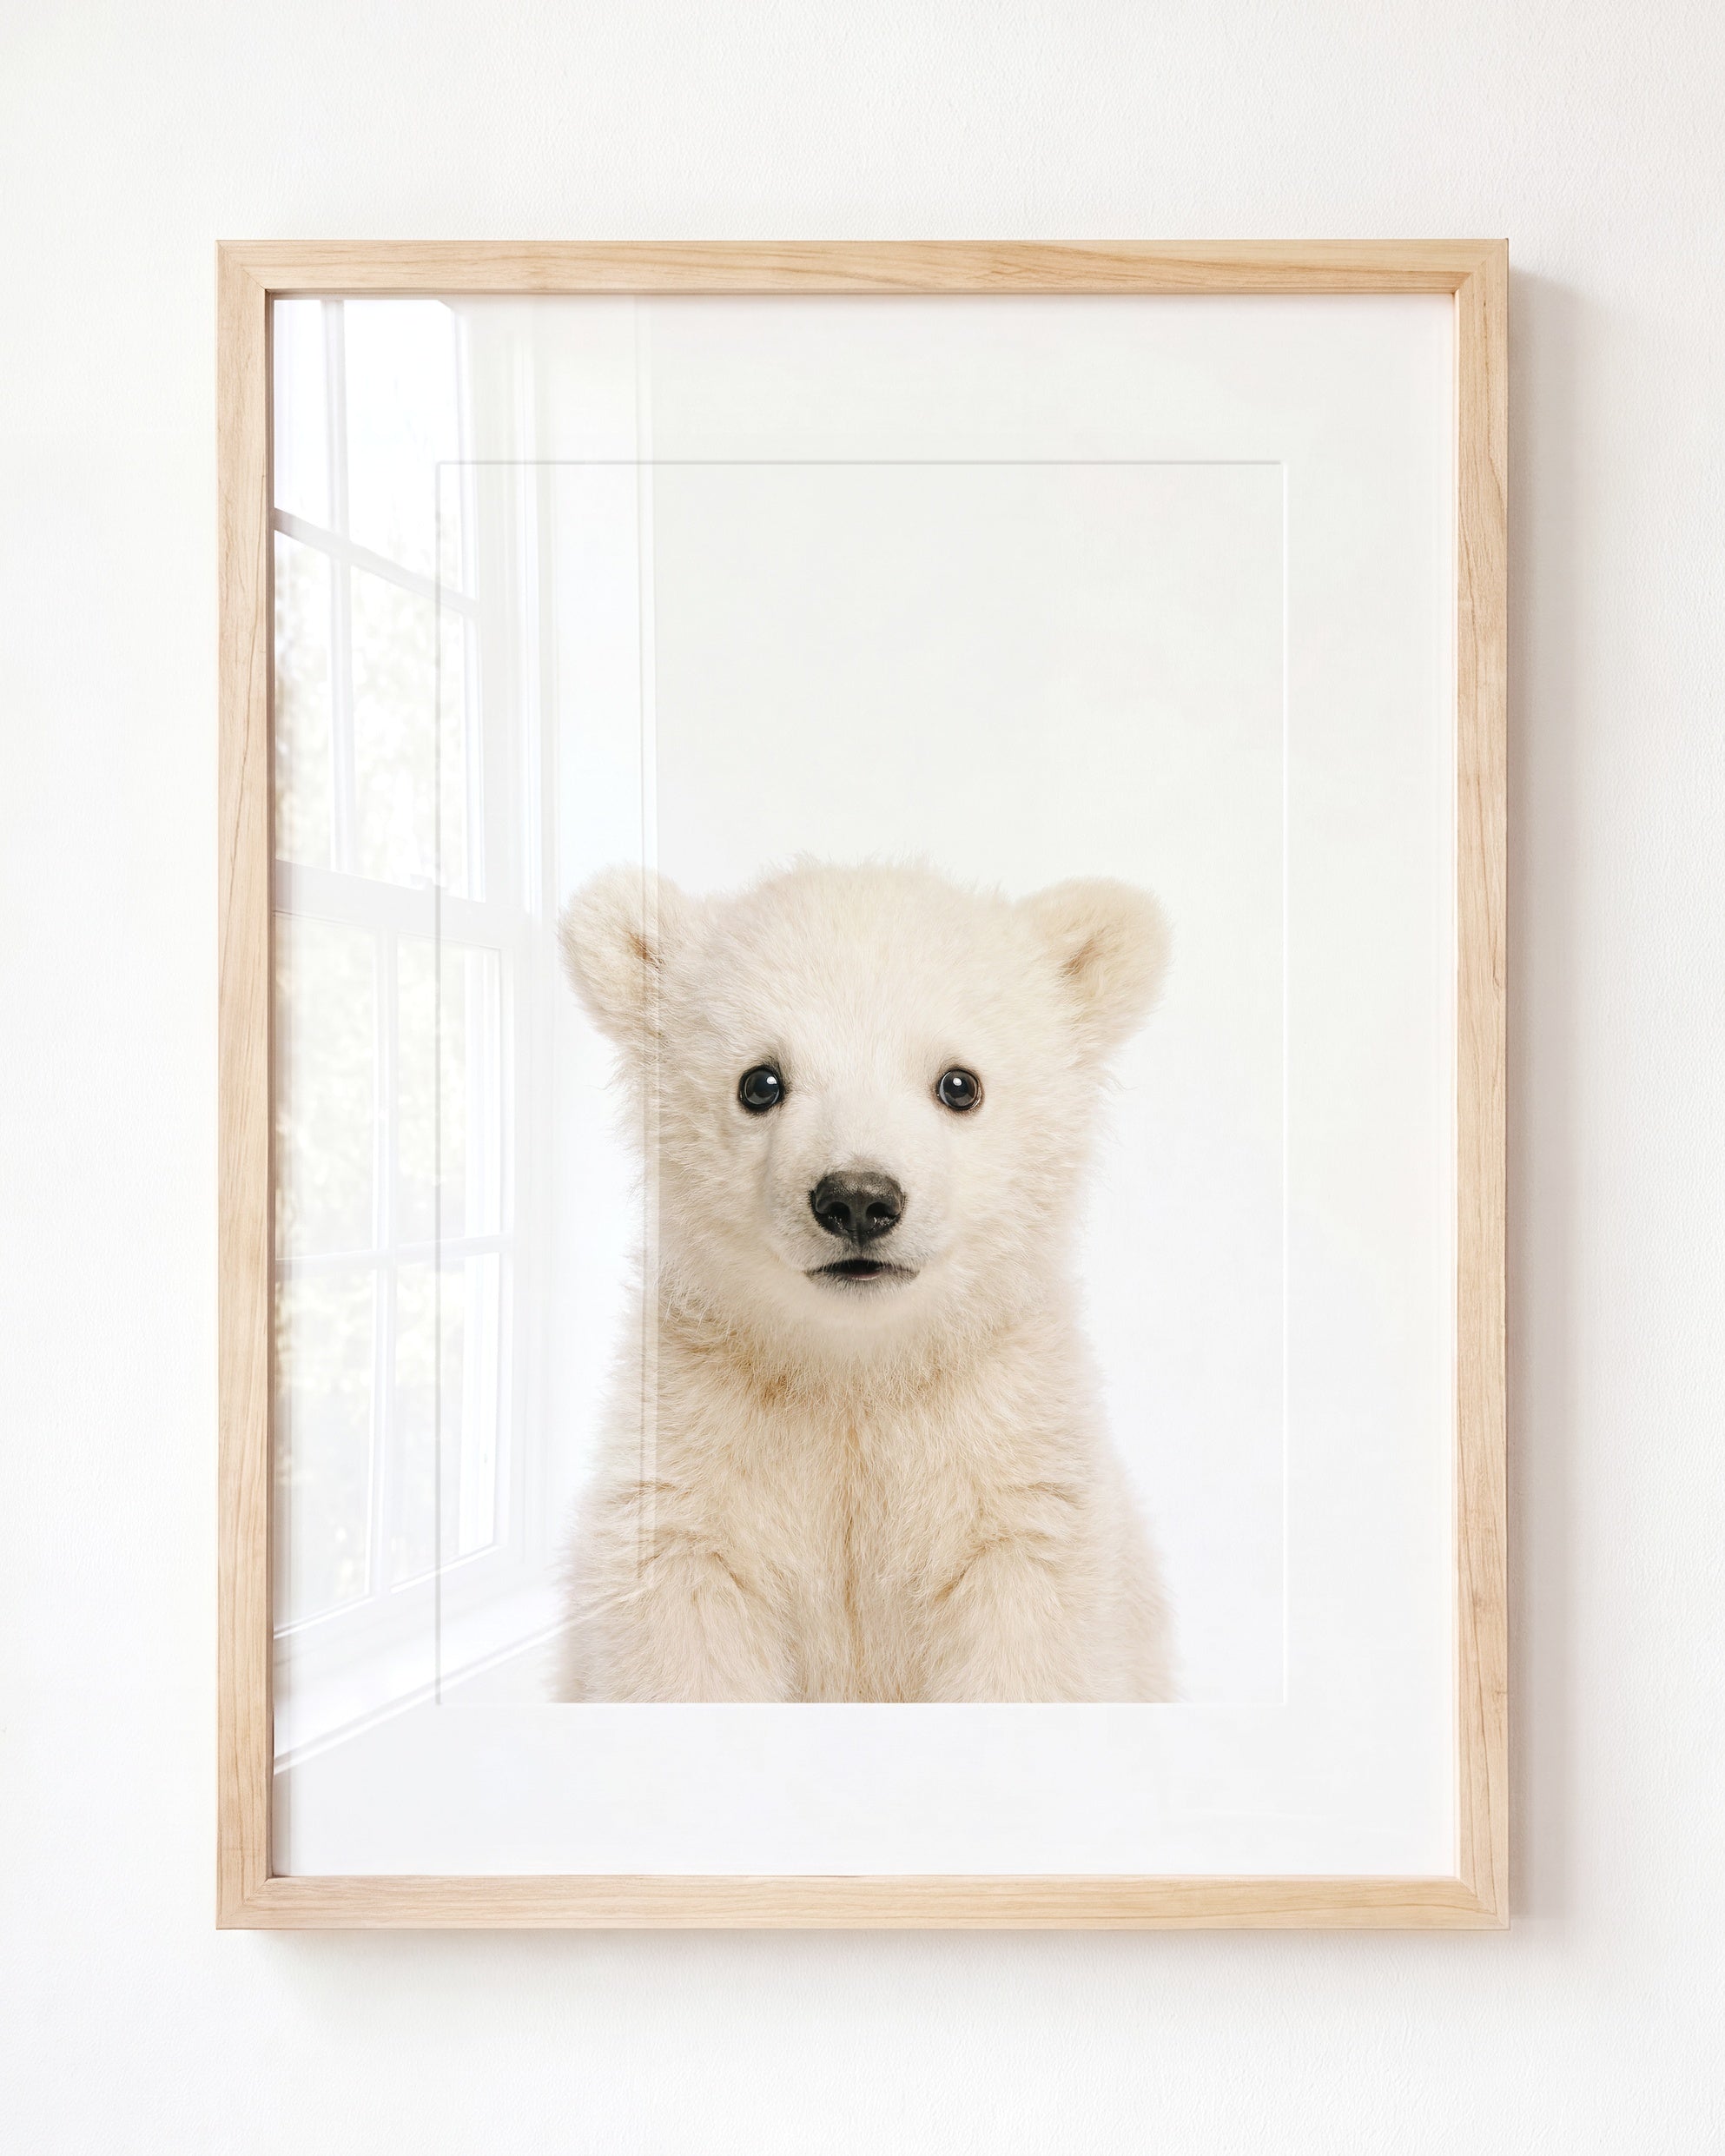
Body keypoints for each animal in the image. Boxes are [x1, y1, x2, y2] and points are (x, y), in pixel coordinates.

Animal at [553, 859, 1175, 1702]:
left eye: (959, 1084)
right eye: (760, 1082)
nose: (857, 1198)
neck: (858, 1370)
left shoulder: (1012, 1474)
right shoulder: (695, 1463)